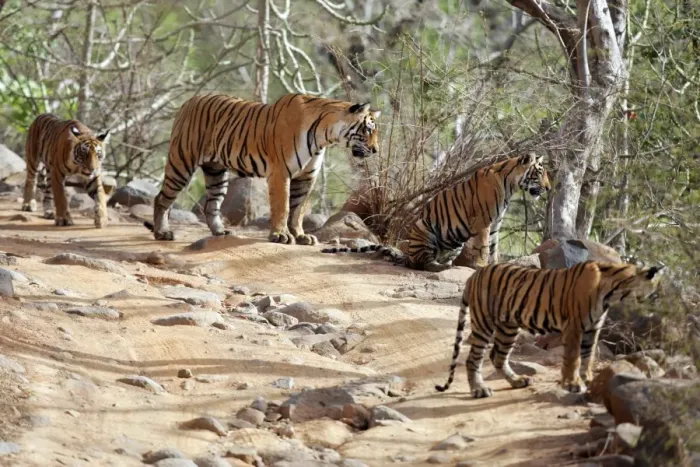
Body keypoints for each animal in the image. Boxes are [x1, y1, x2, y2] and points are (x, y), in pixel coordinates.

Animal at [143, 93, 381, 243]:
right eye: (369, 130)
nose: (376, 150)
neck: (324, 136)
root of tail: (190, 100)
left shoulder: (306, 177)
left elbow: (298, 210)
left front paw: (301, 236)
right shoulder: (280, 173)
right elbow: (283, 207)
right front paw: (280, 236)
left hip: (216, 172)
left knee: (211, 204)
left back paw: (220, 232)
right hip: (181, 163)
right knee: (162, 198)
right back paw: (162, 233)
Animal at [322, 153, 551, 272]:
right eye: (539, 173)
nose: (549, 188)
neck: (510, 185)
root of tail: (407, 256)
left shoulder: (495, 224)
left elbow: (494, 248)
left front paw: (495, 265)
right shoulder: (483, 222)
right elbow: (484, 247)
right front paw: (480, 266)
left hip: (455, 241)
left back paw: (447, 264)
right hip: (425, 229)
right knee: (422, 264)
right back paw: (441, 268)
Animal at [435, 261, 665, 398]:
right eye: (656, 294)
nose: (661, 310)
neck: (614, 293)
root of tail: (474, 275)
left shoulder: (592, 328)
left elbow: (588, 356)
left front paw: (590, 380)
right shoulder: (575, 326)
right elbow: (573, 358)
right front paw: (572, 384)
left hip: (508, 327)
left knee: (498, 356)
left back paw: (517, 381)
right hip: (484, 322)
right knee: (473, 358)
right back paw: (479, 389)